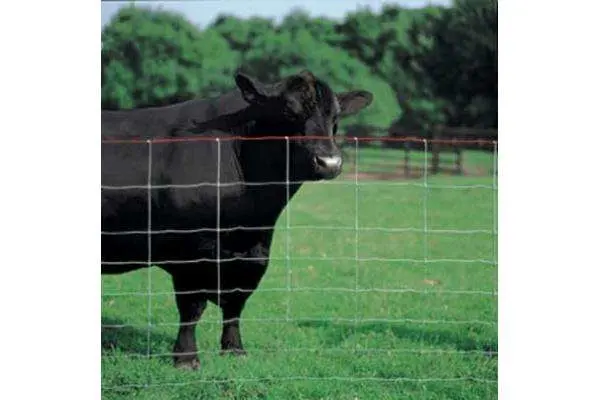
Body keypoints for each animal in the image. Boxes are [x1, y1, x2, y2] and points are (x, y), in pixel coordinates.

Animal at [101, 69, 372, 368]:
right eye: (288, 111)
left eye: (335, 117)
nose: (329, 162)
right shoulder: (190, 253)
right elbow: (192, 308)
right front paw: (186, 357)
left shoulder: (254, 253)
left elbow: (236, 303)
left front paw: (234, 349)